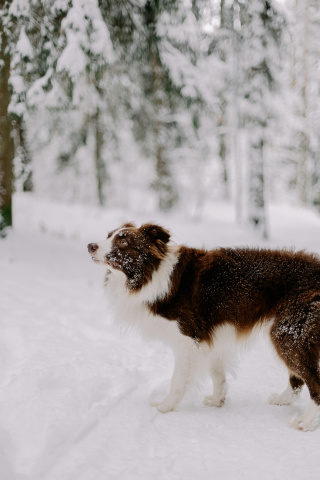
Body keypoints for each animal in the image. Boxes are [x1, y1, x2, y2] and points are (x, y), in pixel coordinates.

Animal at [87, 222, 320, 432]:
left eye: (123, 241)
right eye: (108, 235)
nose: (90, 245)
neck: (151, 273)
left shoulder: (187, 339)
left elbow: (178, 381)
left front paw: (165, 407)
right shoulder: (209, 337)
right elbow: (217, 374)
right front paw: (218, 401)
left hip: (288, 334)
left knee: (313, 382)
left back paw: (306, 423)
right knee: (297, 378)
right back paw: (283, 399)